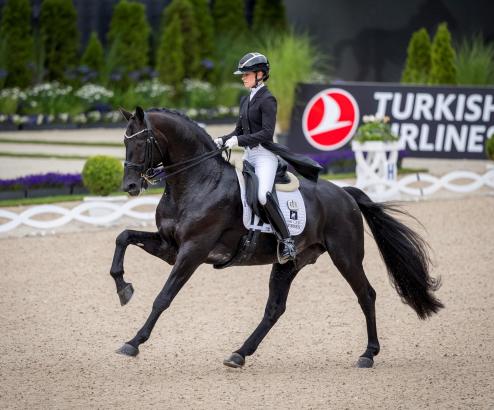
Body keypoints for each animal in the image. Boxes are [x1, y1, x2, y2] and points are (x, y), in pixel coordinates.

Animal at [110, 105, 442, 368]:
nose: (130, 186)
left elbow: (163, 298)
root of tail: (345, 194)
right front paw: (123, 288)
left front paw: (133, 342)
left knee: (366, 295)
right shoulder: (170, 247)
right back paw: (239, 354)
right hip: (289, 263)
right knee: (275, 309)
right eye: (125, 142)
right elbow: (123, 237)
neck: (197, 182)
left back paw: (368, 355)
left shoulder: (192, 251)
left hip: (345, 256)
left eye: (141, 141)